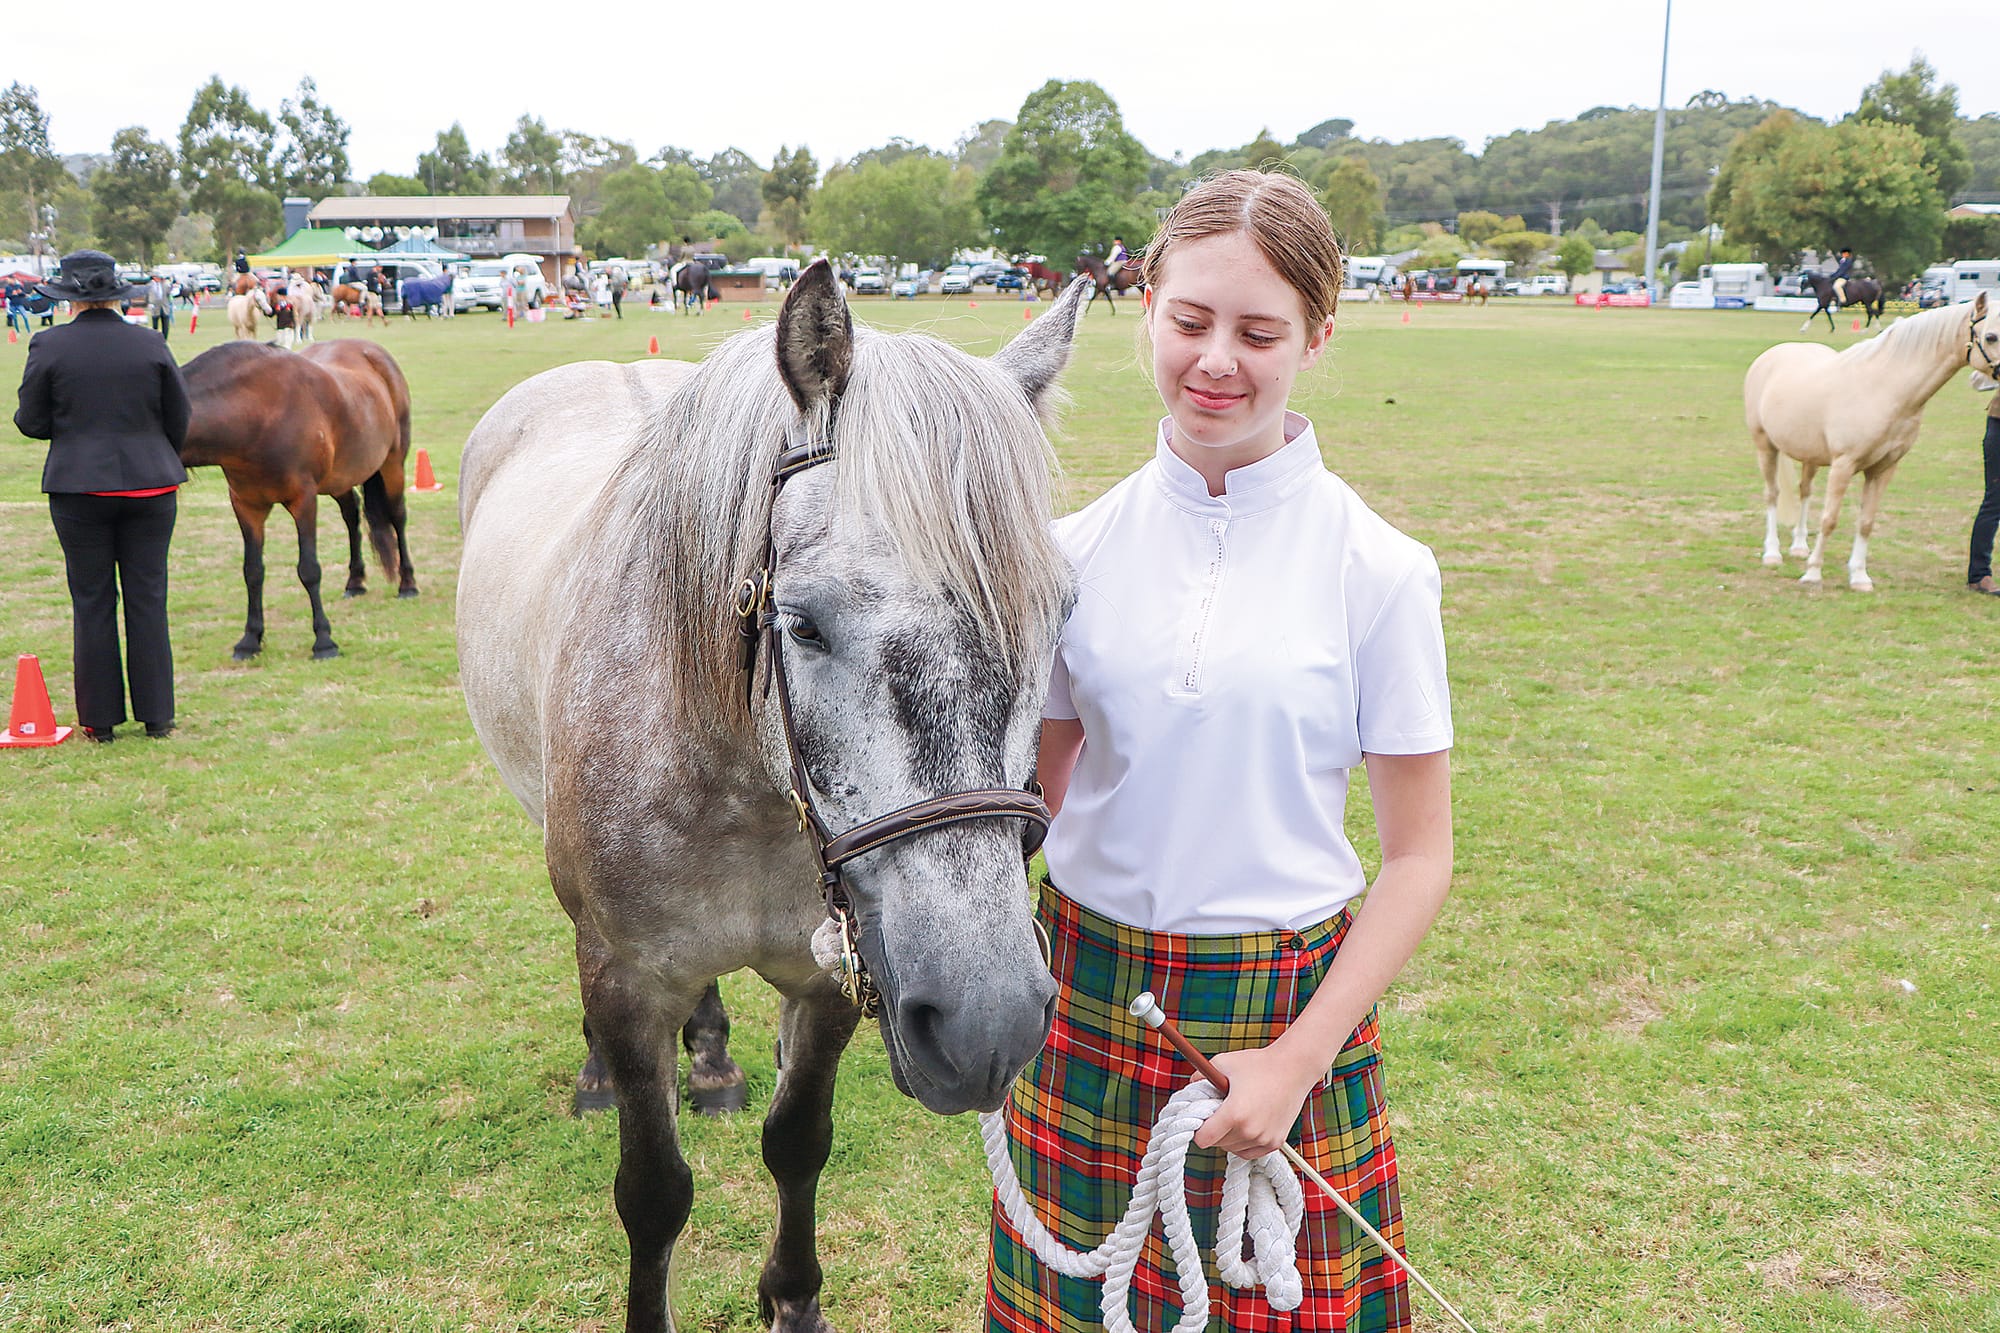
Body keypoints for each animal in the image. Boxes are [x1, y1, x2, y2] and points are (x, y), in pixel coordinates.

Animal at [179, 340, 420, 659]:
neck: (257, 412)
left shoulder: (304, 501)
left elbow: (309, 570)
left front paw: (324, 641)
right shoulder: (246, 505)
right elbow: (252, 571)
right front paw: (250, 640)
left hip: (393, 463)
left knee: (397, 516)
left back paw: (408, 584)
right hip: (339, 479)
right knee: (351, 516)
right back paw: (355, 582)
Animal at [454, 263, 1089, 1331]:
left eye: (1063, 613)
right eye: (803, 622)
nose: (988, 1020)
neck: (744, 787)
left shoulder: (834, 972)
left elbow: (799, 1141)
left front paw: (793, 1299)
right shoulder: (627, 975)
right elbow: (653, 1190)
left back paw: (710, 1060)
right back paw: (600, 1073)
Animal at [1746, 292, 1995, 591]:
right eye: (1991, 336)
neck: (1883, 389)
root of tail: (1772, 355)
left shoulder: (1883, 468)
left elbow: (1866, 522)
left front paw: (1859, 577)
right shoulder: (1843, 465)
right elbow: (1829, 519)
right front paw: (1813, 574)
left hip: (1810, 456)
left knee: (1805, 491)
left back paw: (1799, 546)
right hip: (1765, 446)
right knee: (1773, 494)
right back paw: (1772, 553)